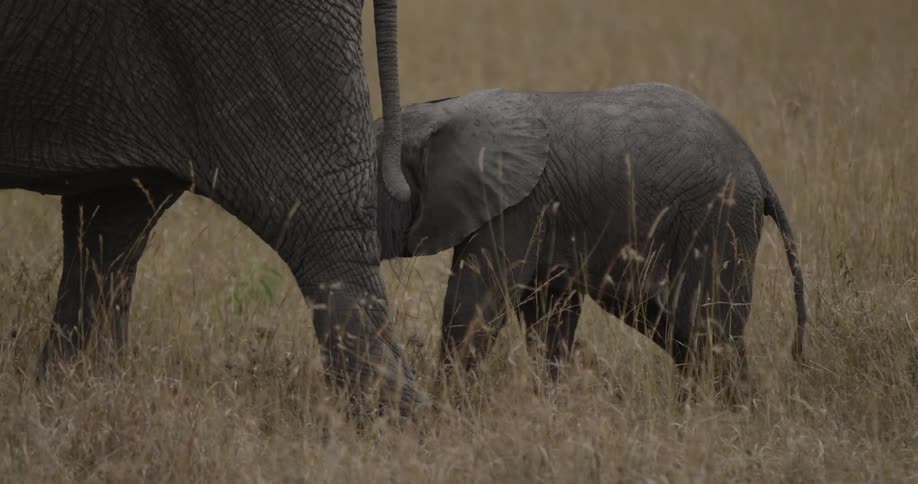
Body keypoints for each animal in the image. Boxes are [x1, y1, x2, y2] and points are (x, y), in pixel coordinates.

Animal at [374, 84, 807, 399]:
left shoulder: (517, 209)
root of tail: (756, 167)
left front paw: (447, 408)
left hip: (717, 219)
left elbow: (475, 302)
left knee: (708, 325)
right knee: (677, 327)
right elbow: (548, 314)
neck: (443, 112)